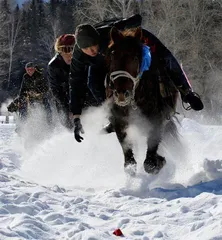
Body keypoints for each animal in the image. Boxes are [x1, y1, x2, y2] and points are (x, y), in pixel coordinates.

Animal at [105, 26, 179, 176]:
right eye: (113, 56)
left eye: (134, 57)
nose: (121, 94)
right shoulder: (119, 121)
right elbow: (128, 158)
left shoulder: (156, 119)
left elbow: (150, 161)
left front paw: (159, 162)